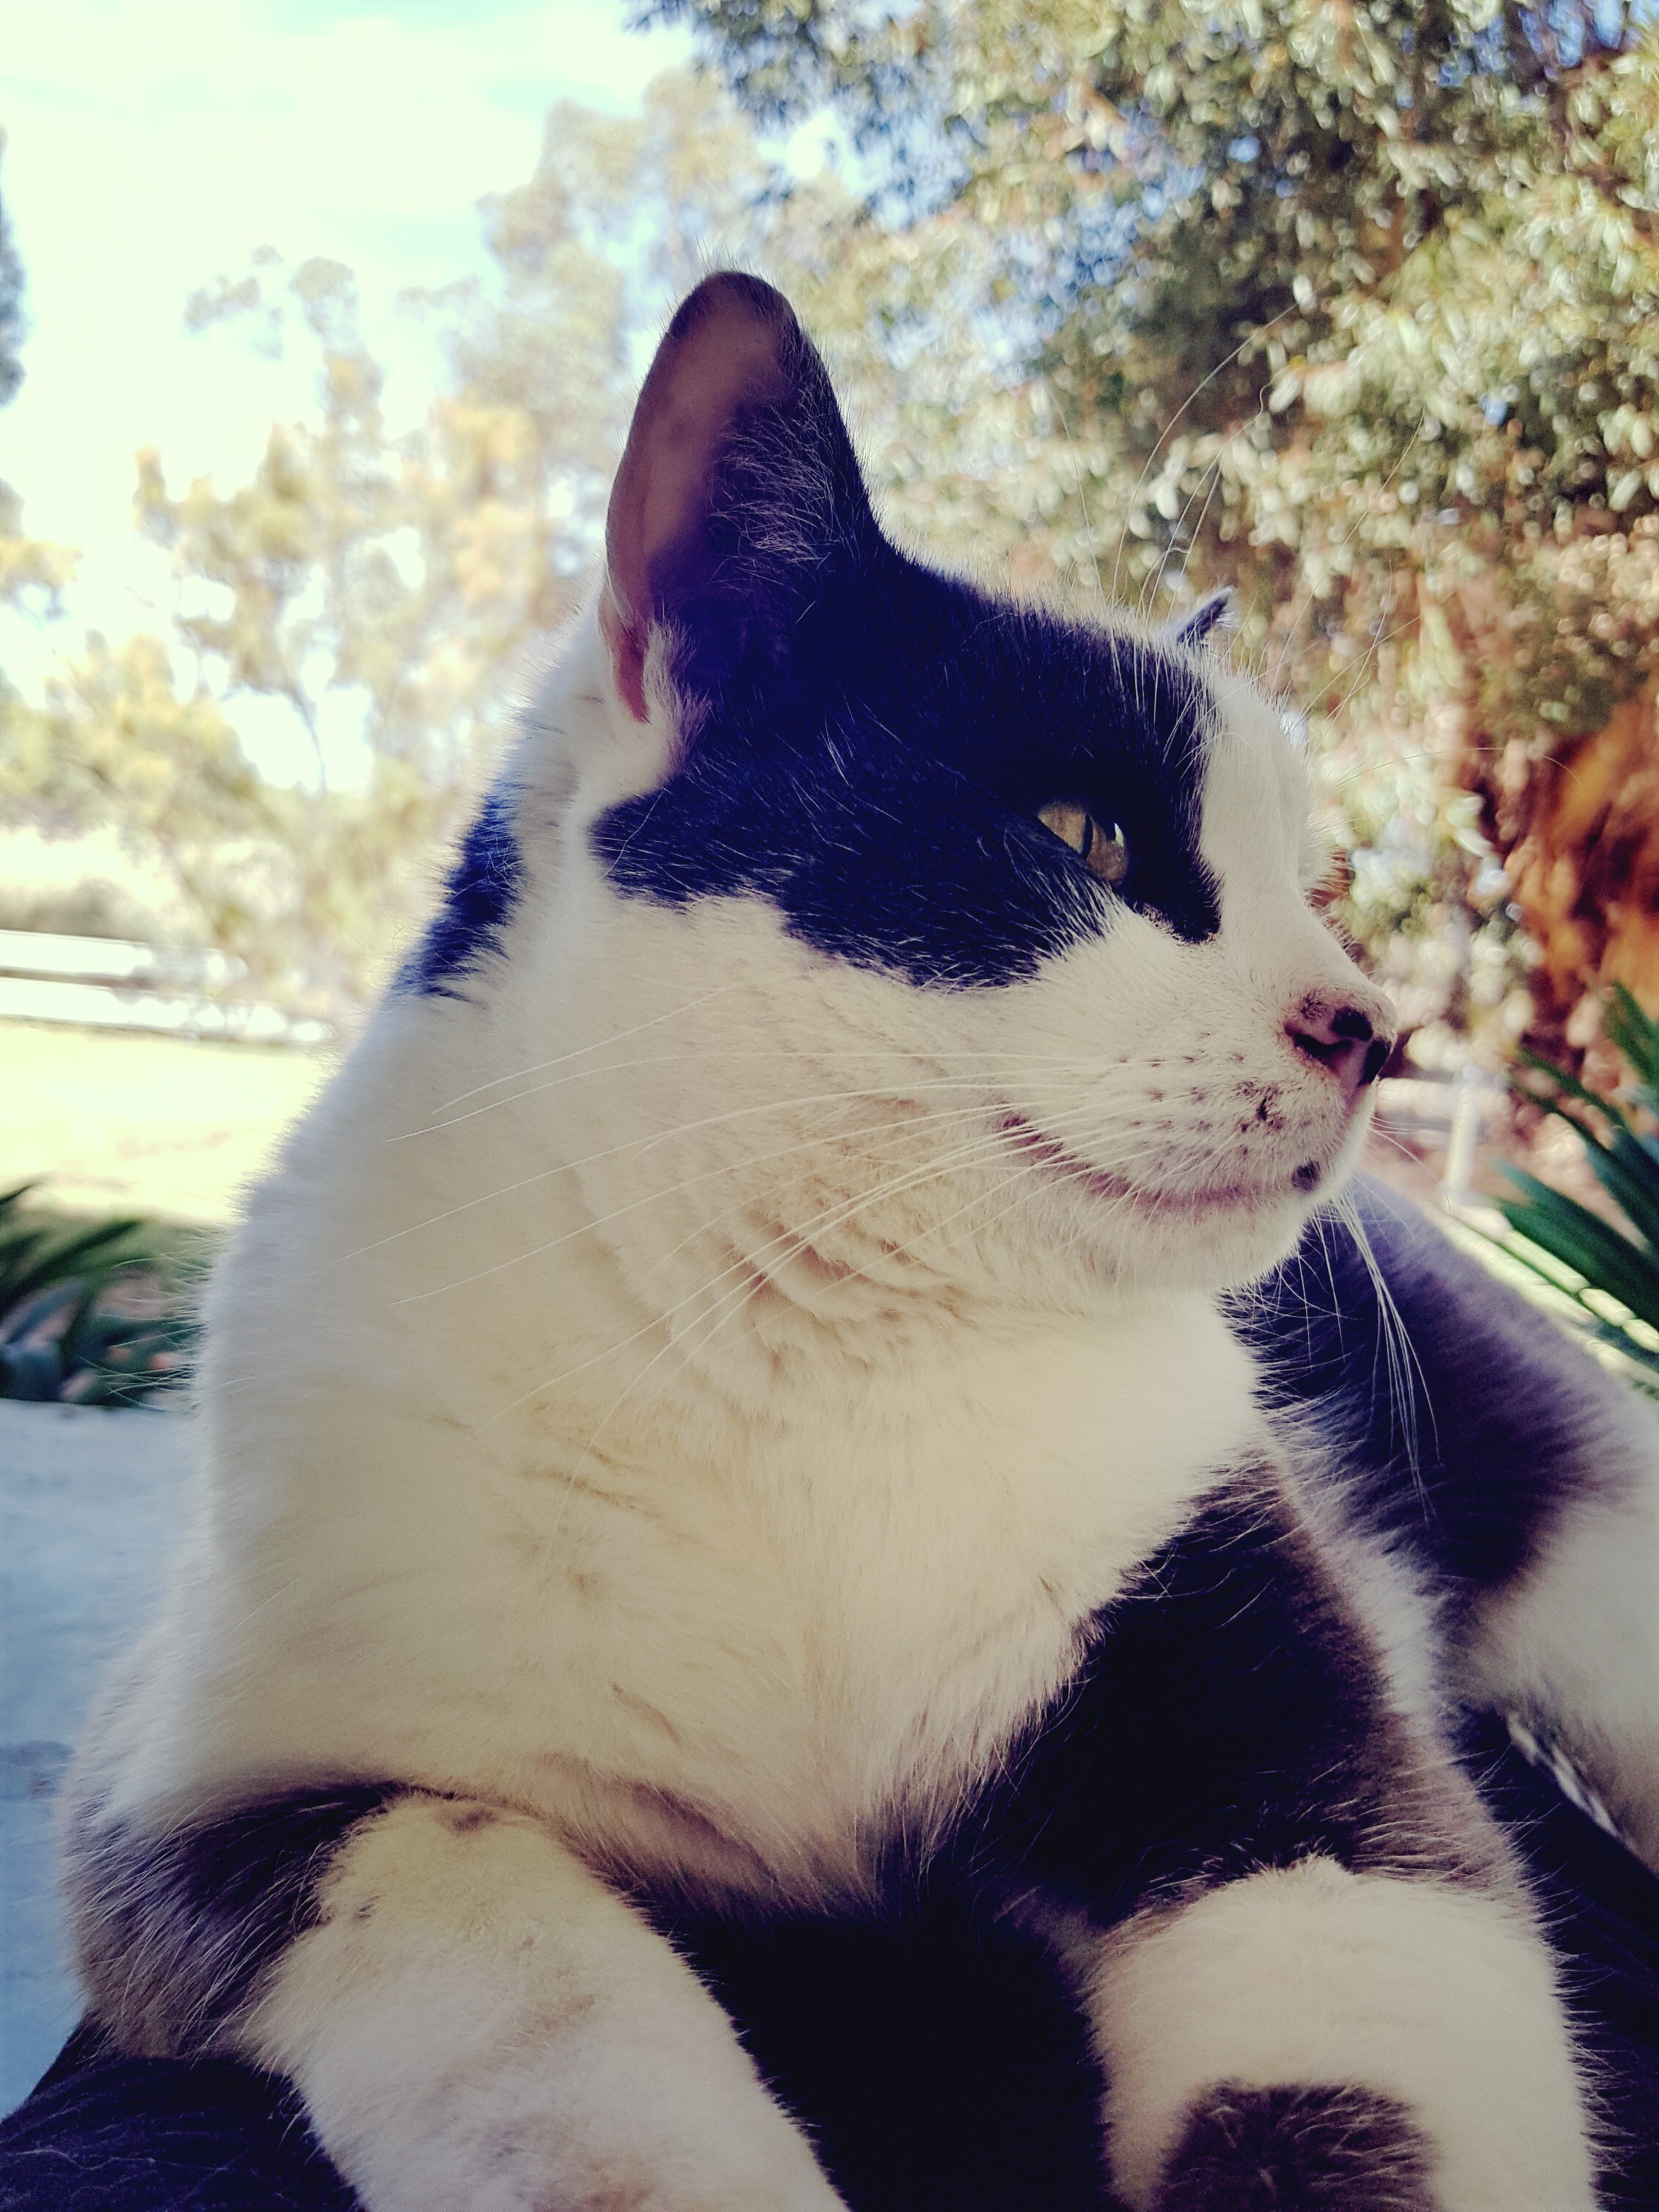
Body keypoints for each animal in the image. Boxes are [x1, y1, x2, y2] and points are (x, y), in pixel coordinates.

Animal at [60, 271, 1659, 2212]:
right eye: (1085, 835)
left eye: (1320, 890)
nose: (1369, 1026)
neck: (809, 1355)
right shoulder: (201, 1785)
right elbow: (522, 1988)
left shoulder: (1287, 1749)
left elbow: (1369, 2035)